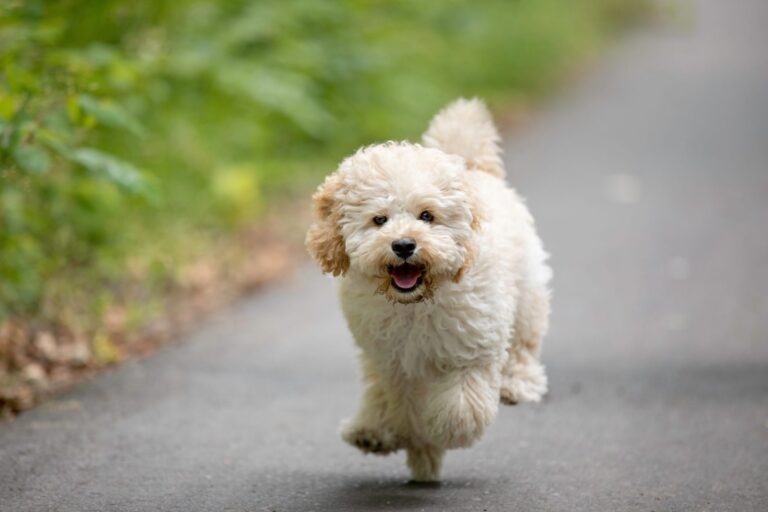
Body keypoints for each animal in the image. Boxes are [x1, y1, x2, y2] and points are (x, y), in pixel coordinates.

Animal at [306, 99, 552, 480]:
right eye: (379, 219)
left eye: (427, 216)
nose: (404, 245)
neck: (416, 303)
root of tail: (472, 168)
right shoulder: (393, 362)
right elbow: (398, 403)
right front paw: (405, 442)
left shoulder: (471, 350)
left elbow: (462, 406)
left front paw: (444, 431)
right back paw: (381, 436)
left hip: (526, 292)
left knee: (524, 344)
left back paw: (517, 384)